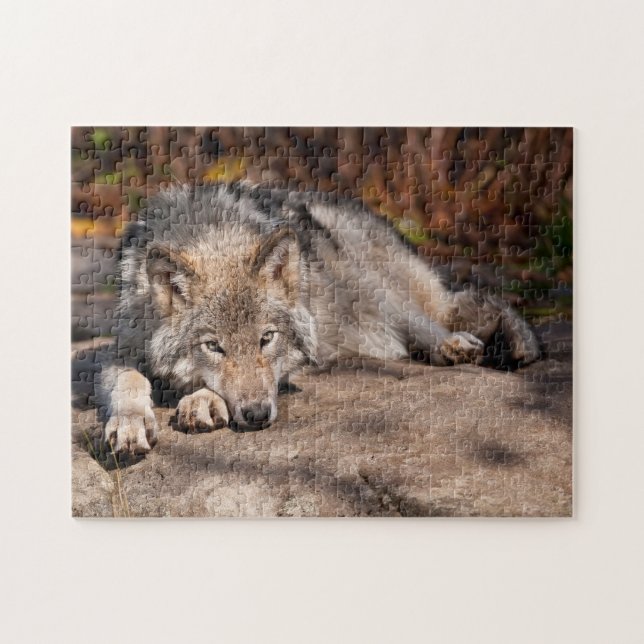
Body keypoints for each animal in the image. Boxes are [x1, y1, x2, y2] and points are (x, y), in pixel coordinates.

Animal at [96, 182, 540, 457]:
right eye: (213, 346)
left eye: (267, 338)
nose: (257, 415)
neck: (213, 235)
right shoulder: (121, 346)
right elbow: (126, 379)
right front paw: (130, 423)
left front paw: (202, 400)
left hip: (373, 287)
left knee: (446, 316)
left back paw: (472, 346)